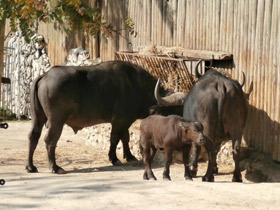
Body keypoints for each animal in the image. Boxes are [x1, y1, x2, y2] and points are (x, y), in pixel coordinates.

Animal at [25, 60, 184, 173]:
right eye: (178, 109)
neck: (136, 85)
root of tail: (45, 75)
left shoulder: (126, 120)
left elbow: (125, 137)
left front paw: (129, 156)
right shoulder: (119, 120)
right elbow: (114, 138)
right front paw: (114, 159)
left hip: (38, 117)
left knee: (33, 136)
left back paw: (31, 166)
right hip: (56, 120)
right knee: (50, 140)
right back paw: (55, 167)